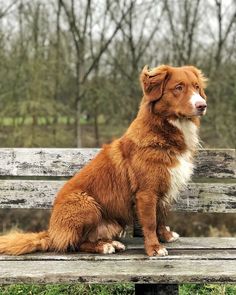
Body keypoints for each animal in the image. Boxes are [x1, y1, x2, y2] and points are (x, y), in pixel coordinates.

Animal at [0, 64, 206, 256]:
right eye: (178, 87)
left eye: (197, 87)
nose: (202, 105)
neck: (163, 132)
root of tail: (52, 232)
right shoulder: (146, 192)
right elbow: (150, 222)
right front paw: (154, 248)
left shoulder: (164, 188)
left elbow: (161, 216)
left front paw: (166, 236)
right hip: (86, 204)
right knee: (74, 244)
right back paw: (104, 246)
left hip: (112, 223)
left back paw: (111, 243)